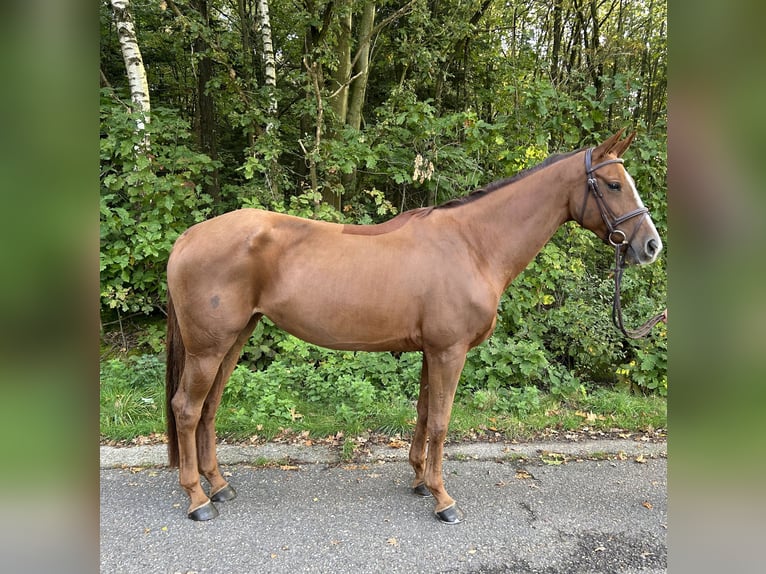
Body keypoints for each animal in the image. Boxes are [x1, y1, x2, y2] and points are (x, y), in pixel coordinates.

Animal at [165, 132, 664, 528]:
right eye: (614, 184)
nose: (651, 246)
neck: (473, 244)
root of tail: (188, 237)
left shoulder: (431, 350)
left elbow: (424, 414)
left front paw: (421, 480)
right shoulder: (449, 351)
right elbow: (442, 422)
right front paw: (444, 499)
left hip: (233, 339)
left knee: (208, 408)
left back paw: (219, 484)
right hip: (209, 348)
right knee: (187, 409)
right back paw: (198, 499)